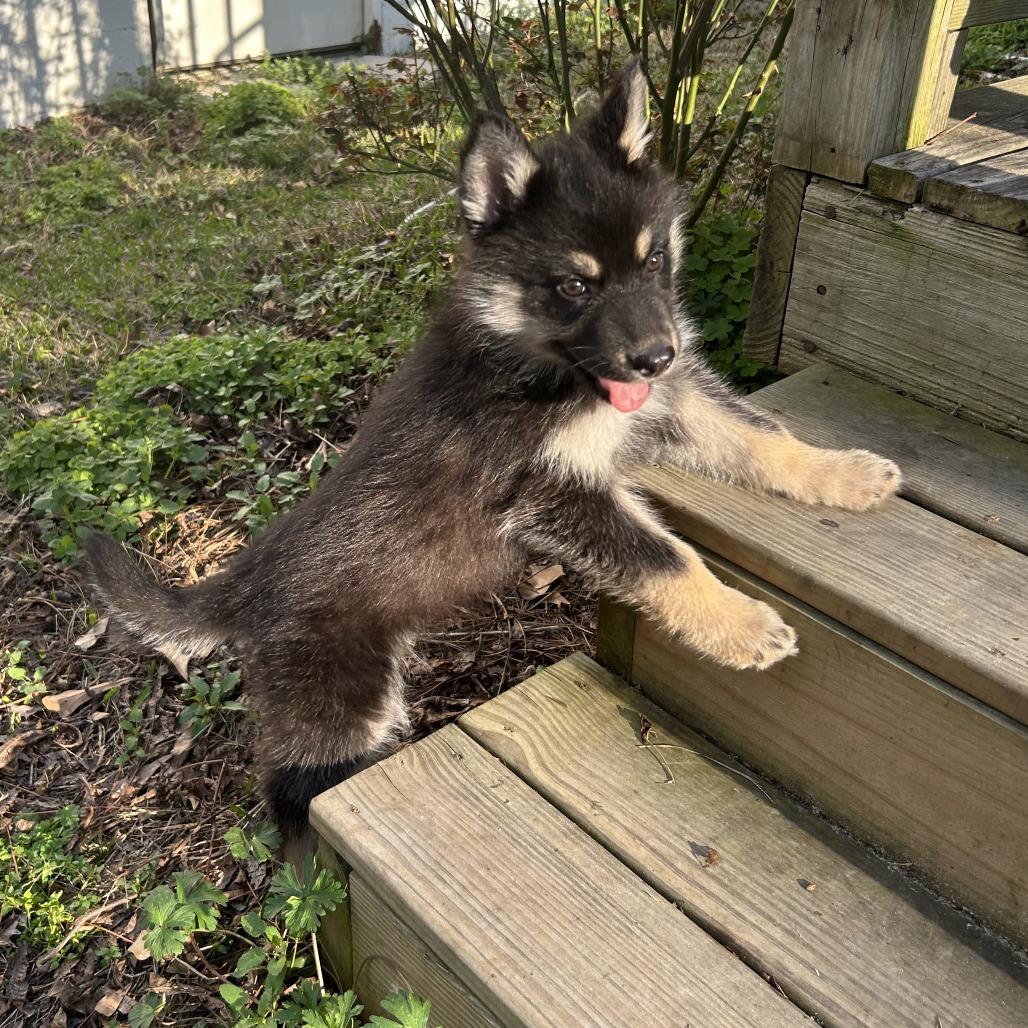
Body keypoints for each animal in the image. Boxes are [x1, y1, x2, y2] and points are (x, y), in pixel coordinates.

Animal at [85, 63, 900, 839]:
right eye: (573, 285)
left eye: (655, 260)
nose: (657, 356)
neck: (541, 367)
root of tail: (241, 583)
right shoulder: (550, 492)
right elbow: (667, 558)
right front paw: (743, 626)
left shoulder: (675, 401)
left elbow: (761, 436)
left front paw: (845, 472)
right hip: (336, 705)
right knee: (295, 801)